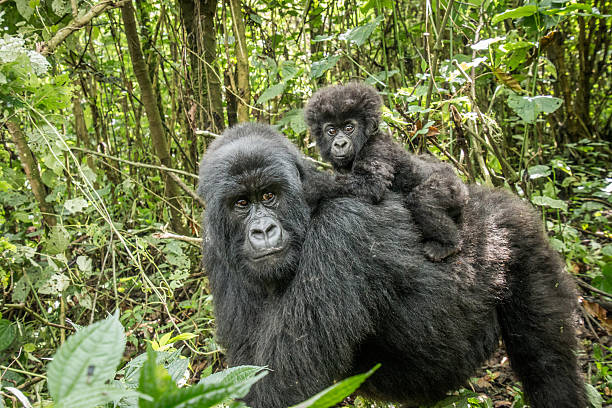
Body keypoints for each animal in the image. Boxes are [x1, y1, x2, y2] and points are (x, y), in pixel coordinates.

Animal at [198, 122, 584, 406]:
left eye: (269, 196)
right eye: (240, 203)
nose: (263, 230)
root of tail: (496, 200)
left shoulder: (341, 232)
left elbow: (281, 389)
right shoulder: (216, 251)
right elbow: (249, 372)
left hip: (523, 245)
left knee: (549, 367)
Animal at [304, 82, 466, 262]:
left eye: (349, 128)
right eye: (331, 131)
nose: (340, 144)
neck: (366, 139)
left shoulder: (376, 148)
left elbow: (371, 184)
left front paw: (312, 185)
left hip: (454, 188)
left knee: (422, 200)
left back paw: (448, 245)